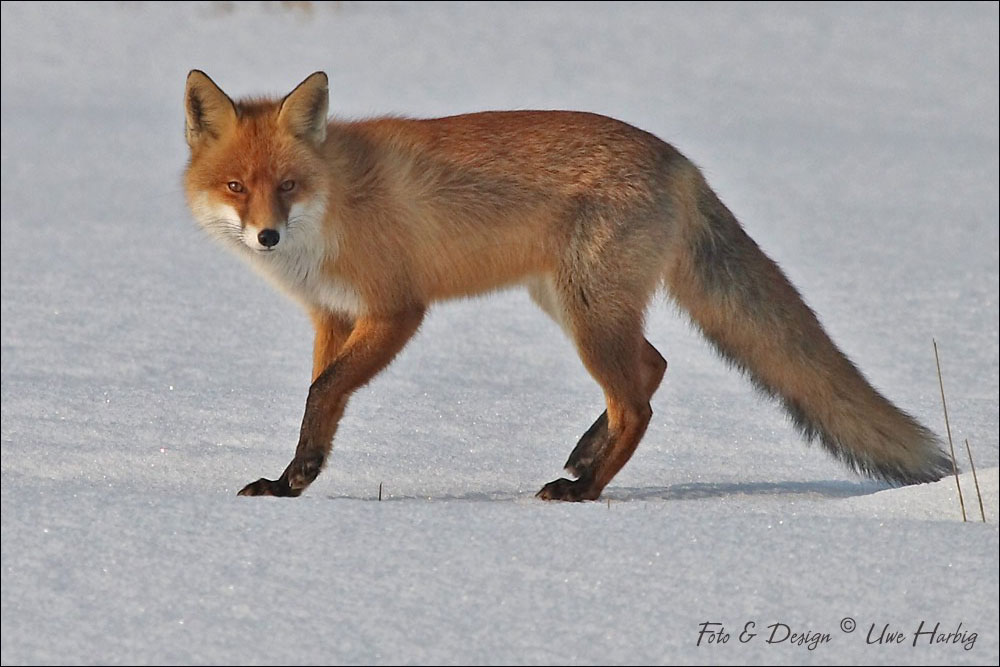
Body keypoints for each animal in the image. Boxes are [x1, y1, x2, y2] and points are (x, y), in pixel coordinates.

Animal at [183, 70, 951, 501]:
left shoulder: (398, 310)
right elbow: (318, 403)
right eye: (236, 187)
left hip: (587, 314)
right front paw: (292, 480)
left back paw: (584, 491)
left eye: (288, 185)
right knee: (652, 367)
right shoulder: (333, 317)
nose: (266, 236)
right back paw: (585, 460)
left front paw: (298, 478)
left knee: (638, 402)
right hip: (570, 302)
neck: (337, 205)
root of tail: (680, 160)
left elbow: (322, 392)